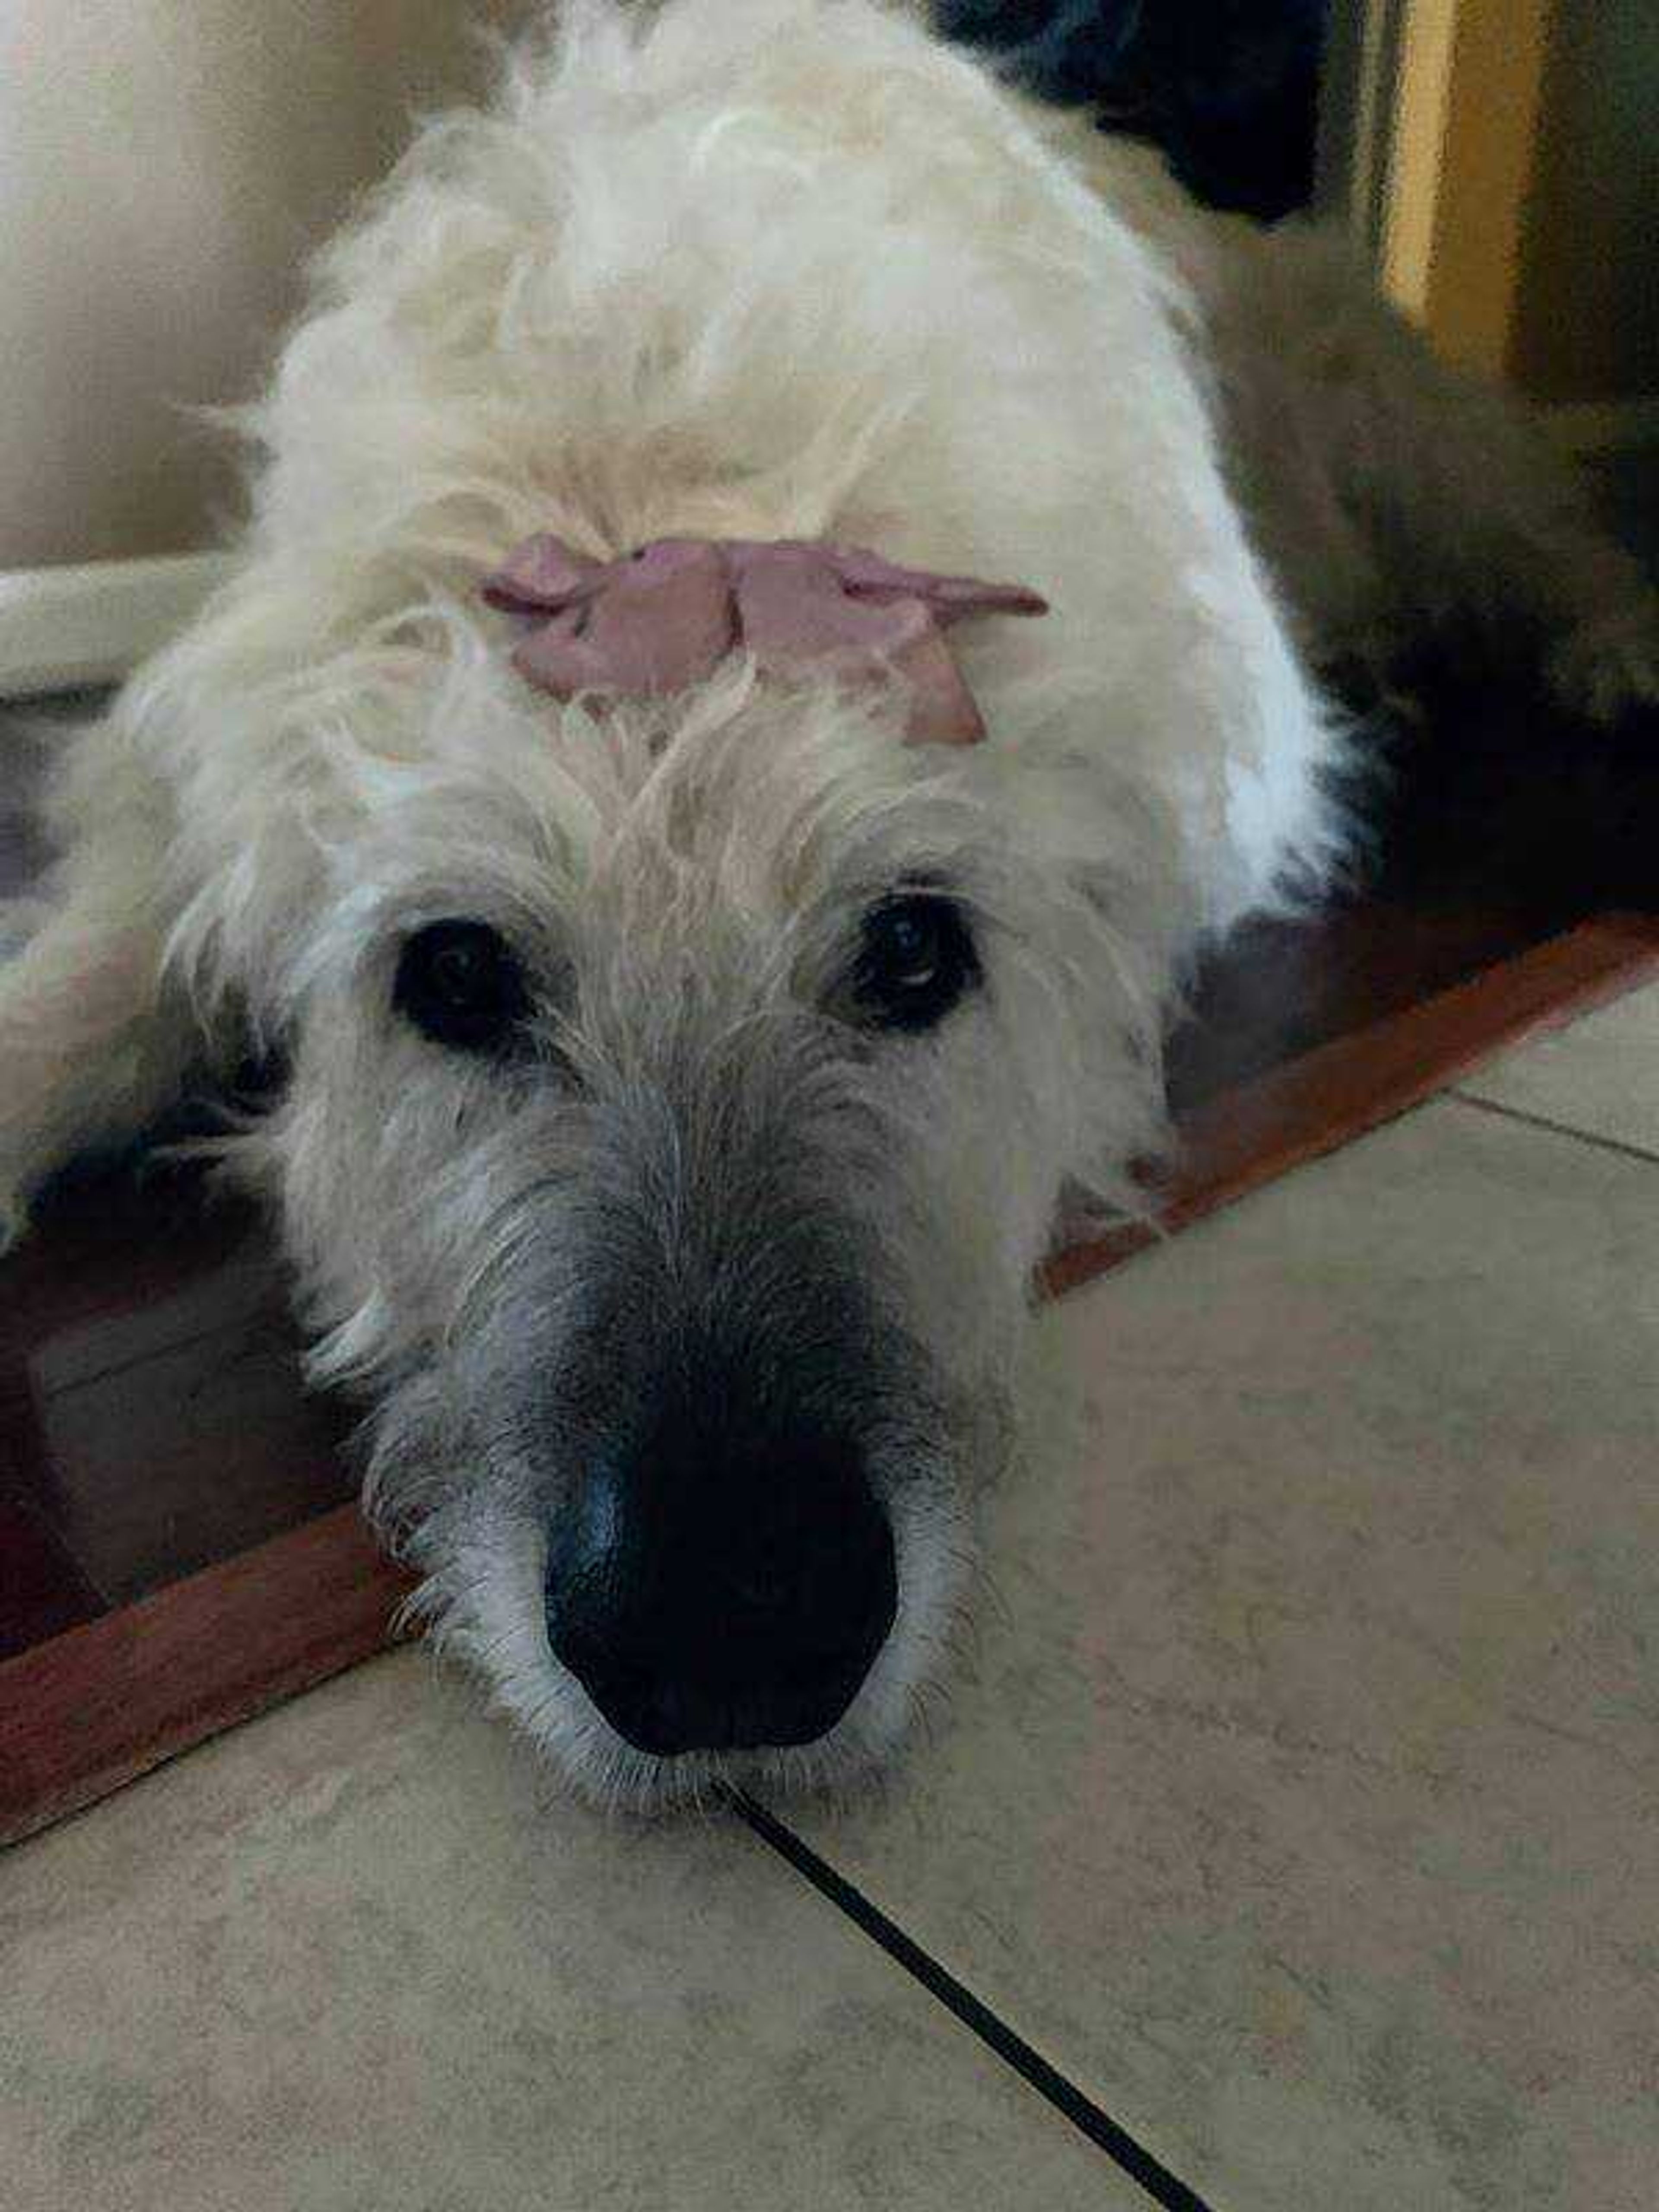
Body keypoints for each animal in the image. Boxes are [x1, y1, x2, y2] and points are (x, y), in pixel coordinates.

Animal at [3, 0, 1659, 1805]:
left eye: (914, 949)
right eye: (453, 975)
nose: (725, 1629)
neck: (658, 473)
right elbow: (99, 963)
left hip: (1407, 428)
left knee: (1547, 524)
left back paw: (1610, 641)